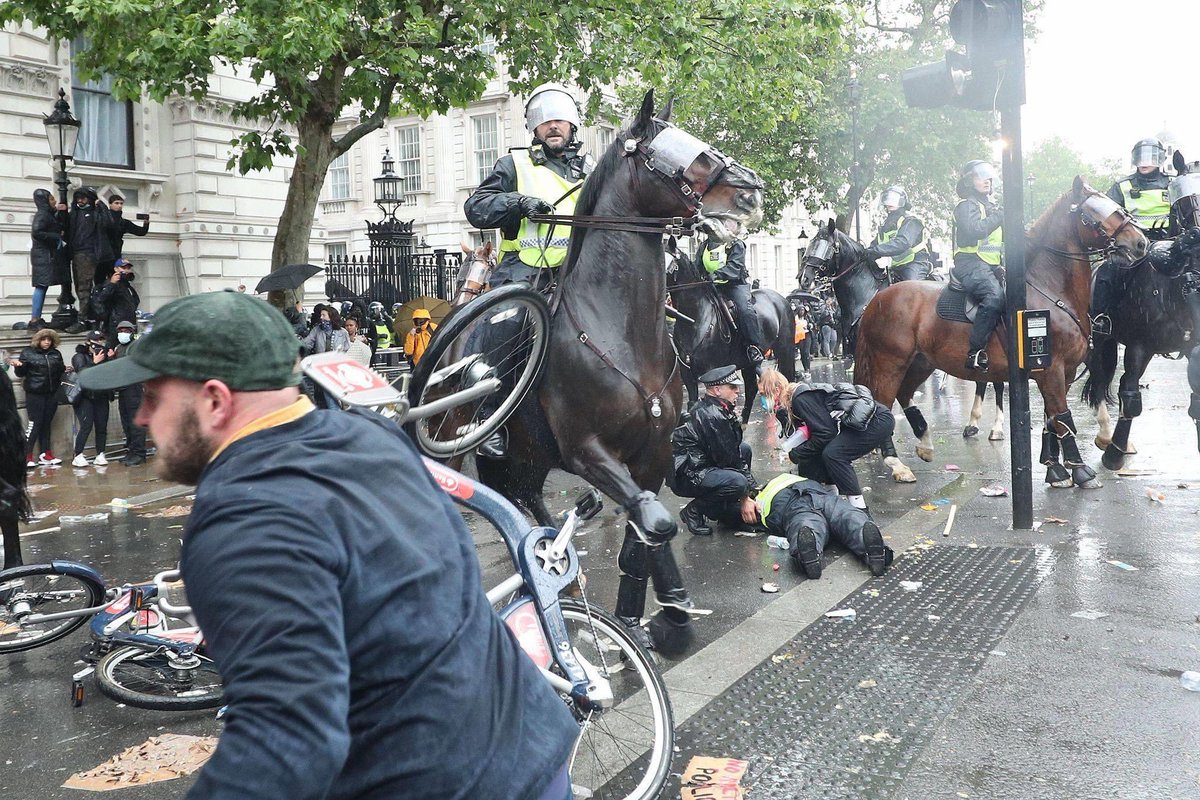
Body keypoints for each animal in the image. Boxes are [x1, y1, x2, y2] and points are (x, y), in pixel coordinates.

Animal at [474, 91, 764, 650]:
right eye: (682, 153)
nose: (751, 194)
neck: (618, 331)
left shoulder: (652, 454)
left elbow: (644, 531)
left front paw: (650, 616)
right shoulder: (587, 451)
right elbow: (656, 520)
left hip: (532, 456)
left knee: (528, 497)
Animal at [666, 240, 796, 422]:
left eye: (670, 264)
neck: (695, 319)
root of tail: (782, 299)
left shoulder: (711, 369)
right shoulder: (687, 373)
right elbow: (693, 404)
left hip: (785, 351)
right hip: (747, 362)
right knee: (751, 390)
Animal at [799, 221, 1006, 444]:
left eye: (826, 246)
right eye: (810, 244)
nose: (804, 279)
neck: (868, 293)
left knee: (994, 381)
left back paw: (995, 427)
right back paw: (972, 422)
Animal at [854, 177, 1147, 487]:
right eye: (1093, 213)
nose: (1140, 242)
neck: (1050, 290)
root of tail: (877, 299)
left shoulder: (1063, 372)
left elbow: (1051, 418)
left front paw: (1054, 469)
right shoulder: (1051, 370)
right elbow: (1062, 416)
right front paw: (1080, 471)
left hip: (921, 362)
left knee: (905, 394)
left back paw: (924, 443)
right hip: (889, 362)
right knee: (883, 404)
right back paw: (896, 463)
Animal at [1082, 151, 1200, 468]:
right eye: (1187, 201)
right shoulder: (1139, 345)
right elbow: (1131, 396)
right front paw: (1113, 454)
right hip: (1101, 339)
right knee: (1102, 379)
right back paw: (1105, 436)